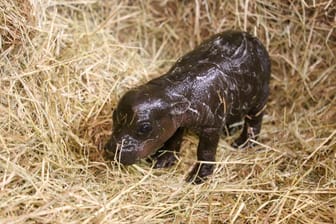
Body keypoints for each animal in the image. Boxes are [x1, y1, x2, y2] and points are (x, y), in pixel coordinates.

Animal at [105, 29, 270, 184]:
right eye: (114, 115)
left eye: (145, 127)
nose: (112, 149)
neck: (173, 90)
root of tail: (250, 36)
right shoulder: (175, 120)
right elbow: (173, 139)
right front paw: (163, 160)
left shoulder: (211, 127)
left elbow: (205, 151)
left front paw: (197, 177)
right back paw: (229, 131)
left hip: (260, 98)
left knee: (254, 121)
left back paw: (242, 144)